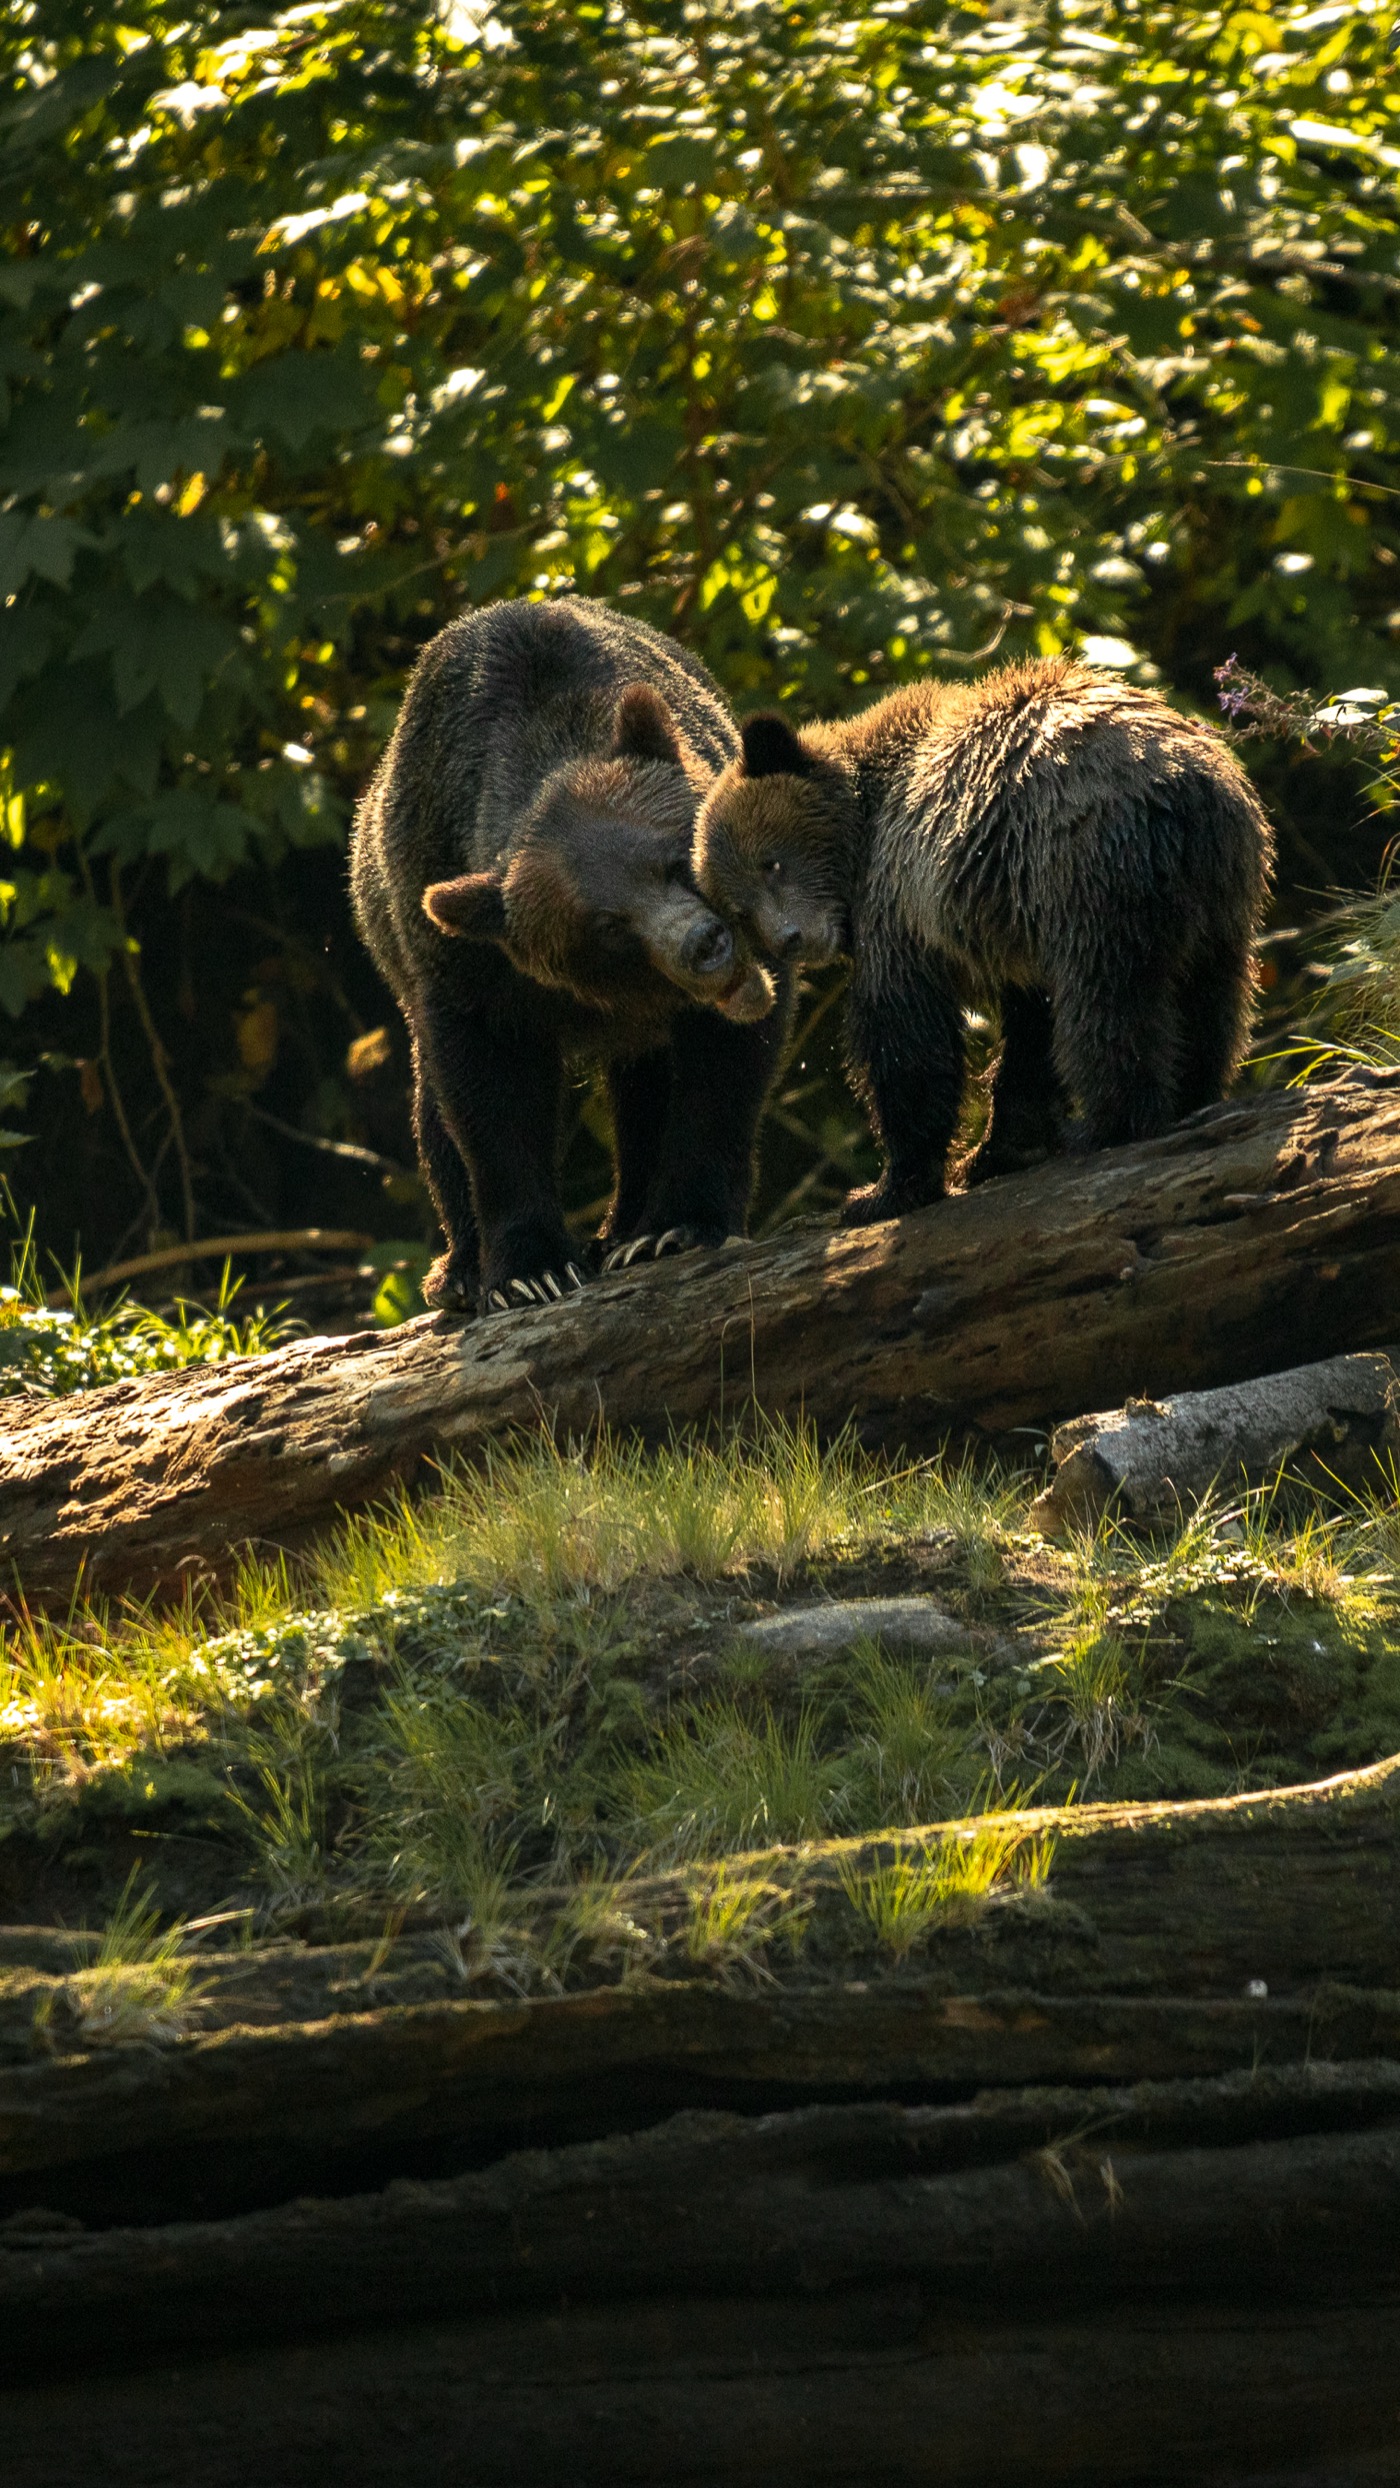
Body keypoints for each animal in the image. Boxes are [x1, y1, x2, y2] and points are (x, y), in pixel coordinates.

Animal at [350, 597, 789, 1312]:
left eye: (676, 862)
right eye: (608, 924)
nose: (703, 944)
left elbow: (720, 1072)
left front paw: (679, 1226)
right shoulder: (470, 961)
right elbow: (489, 1096)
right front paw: (531, 1269)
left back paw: (626, 1230)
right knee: (433, 1108)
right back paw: (461, 1270)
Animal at [691, 657, 1273, 1226]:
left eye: (771, 863)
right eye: (741, 910)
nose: (790, 938)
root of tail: (1183, 786)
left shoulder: (903, 898)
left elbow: (906, 1036)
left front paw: (882, 1190)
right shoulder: (1013, 918)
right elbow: (1027, 1036)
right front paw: (996, 1151)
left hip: (1092, 871)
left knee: (1109, 1002)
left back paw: (1105, 1126)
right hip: (1221, 892)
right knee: (1209, 999)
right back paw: (1192, 1098)